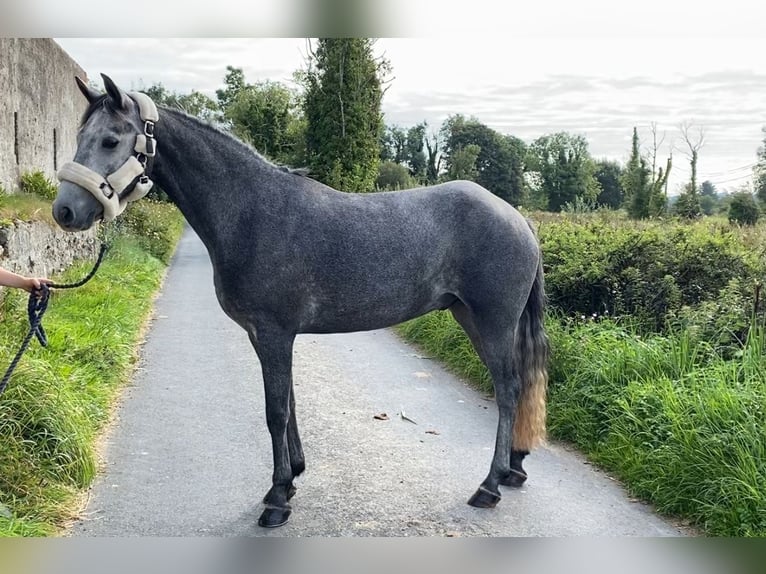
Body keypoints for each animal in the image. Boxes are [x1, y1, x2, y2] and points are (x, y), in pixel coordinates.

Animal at [52, 74, 549, 529]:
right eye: (79, 136)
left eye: (111, 139)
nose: (65, 211)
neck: (252, 213)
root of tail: (519, 218)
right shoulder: (266, 336)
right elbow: (287, 404)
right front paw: (292, 477)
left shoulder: (275, 333)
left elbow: (275, 411)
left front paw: (276, 499)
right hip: (470, 317)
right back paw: (513, 470)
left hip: (492, 322)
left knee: (508, 389)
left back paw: (490, 485)